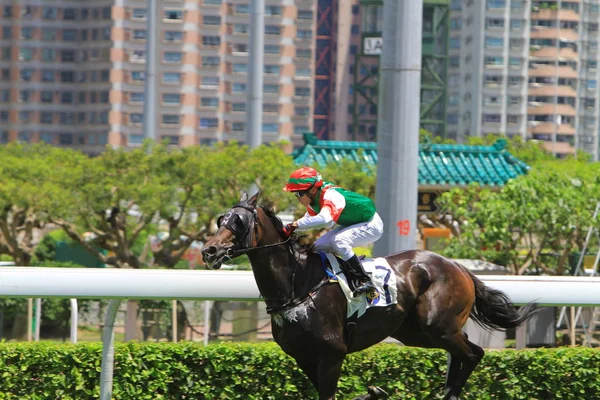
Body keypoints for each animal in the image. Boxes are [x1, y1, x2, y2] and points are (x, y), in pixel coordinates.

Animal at [200, 192, 540, 398]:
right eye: (221, 220)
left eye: (239, 222)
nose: (209, 250)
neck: (298, 285)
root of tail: (460, 268)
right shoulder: (304, 356)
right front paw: (373, 392)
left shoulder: (331, 352)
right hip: (417, 332)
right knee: (465, 351)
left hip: (437, 326)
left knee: (473, 354)